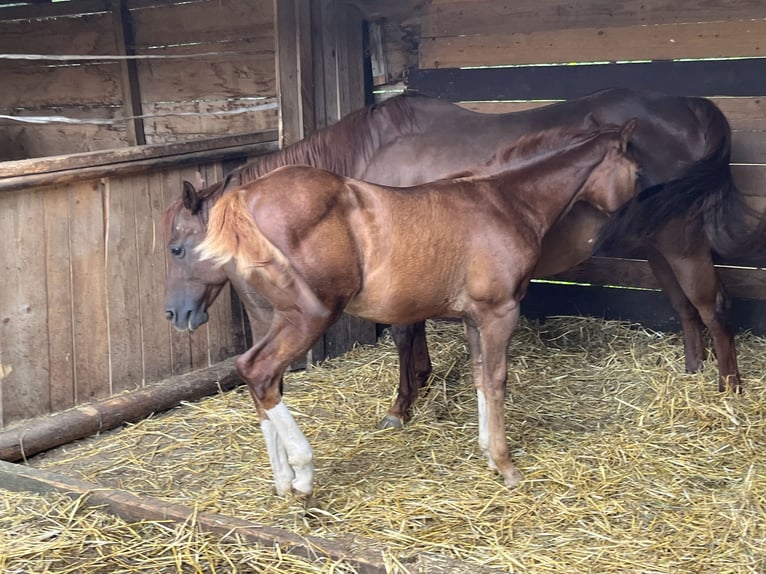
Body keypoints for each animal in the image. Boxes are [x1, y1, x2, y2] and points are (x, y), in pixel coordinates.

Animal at [166, 89, 752, 432]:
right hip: (656, 243)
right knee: (685, 308)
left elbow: (404, 334)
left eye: (177, 246)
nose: (178, 315)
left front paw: (402, 405)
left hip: (680, 240)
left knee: (713, 304)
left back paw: (729, 391)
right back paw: (693, 372)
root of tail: (693, 106)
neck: (361, 166)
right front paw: (422, 384)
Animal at [170, 122, 640, 496]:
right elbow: (496, 380)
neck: (504, 201)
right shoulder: (500, 312)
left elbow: (479, 377)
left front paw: (487, 453)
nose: (177, 314)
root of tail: (243, 198)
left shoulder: (474, 317)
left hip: (267, 317)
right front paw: (506, 465)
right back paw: (303, 475)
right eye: (638, 171)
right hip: (306, 317)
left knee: (259, 378)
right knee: (259, 370)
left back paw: (283, 480)